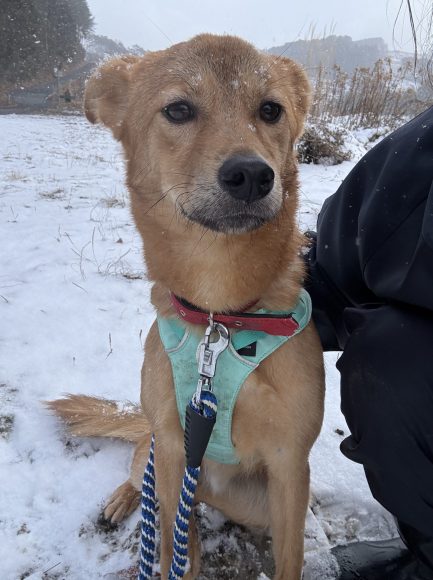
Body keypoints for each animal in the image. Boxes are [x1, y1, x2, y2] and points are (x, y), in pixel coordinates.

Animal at [48, 34, 324, 579]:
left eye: (270, 109)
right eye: (178, 109)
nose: (251, 174)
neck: (221, 313)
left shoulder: (289, 467)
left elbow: (289, 558)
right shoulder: (174, 447)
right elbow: (172, 545)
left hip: (254, 500)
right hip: (157, 450)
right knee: (145, 474)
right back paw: (125, 499)